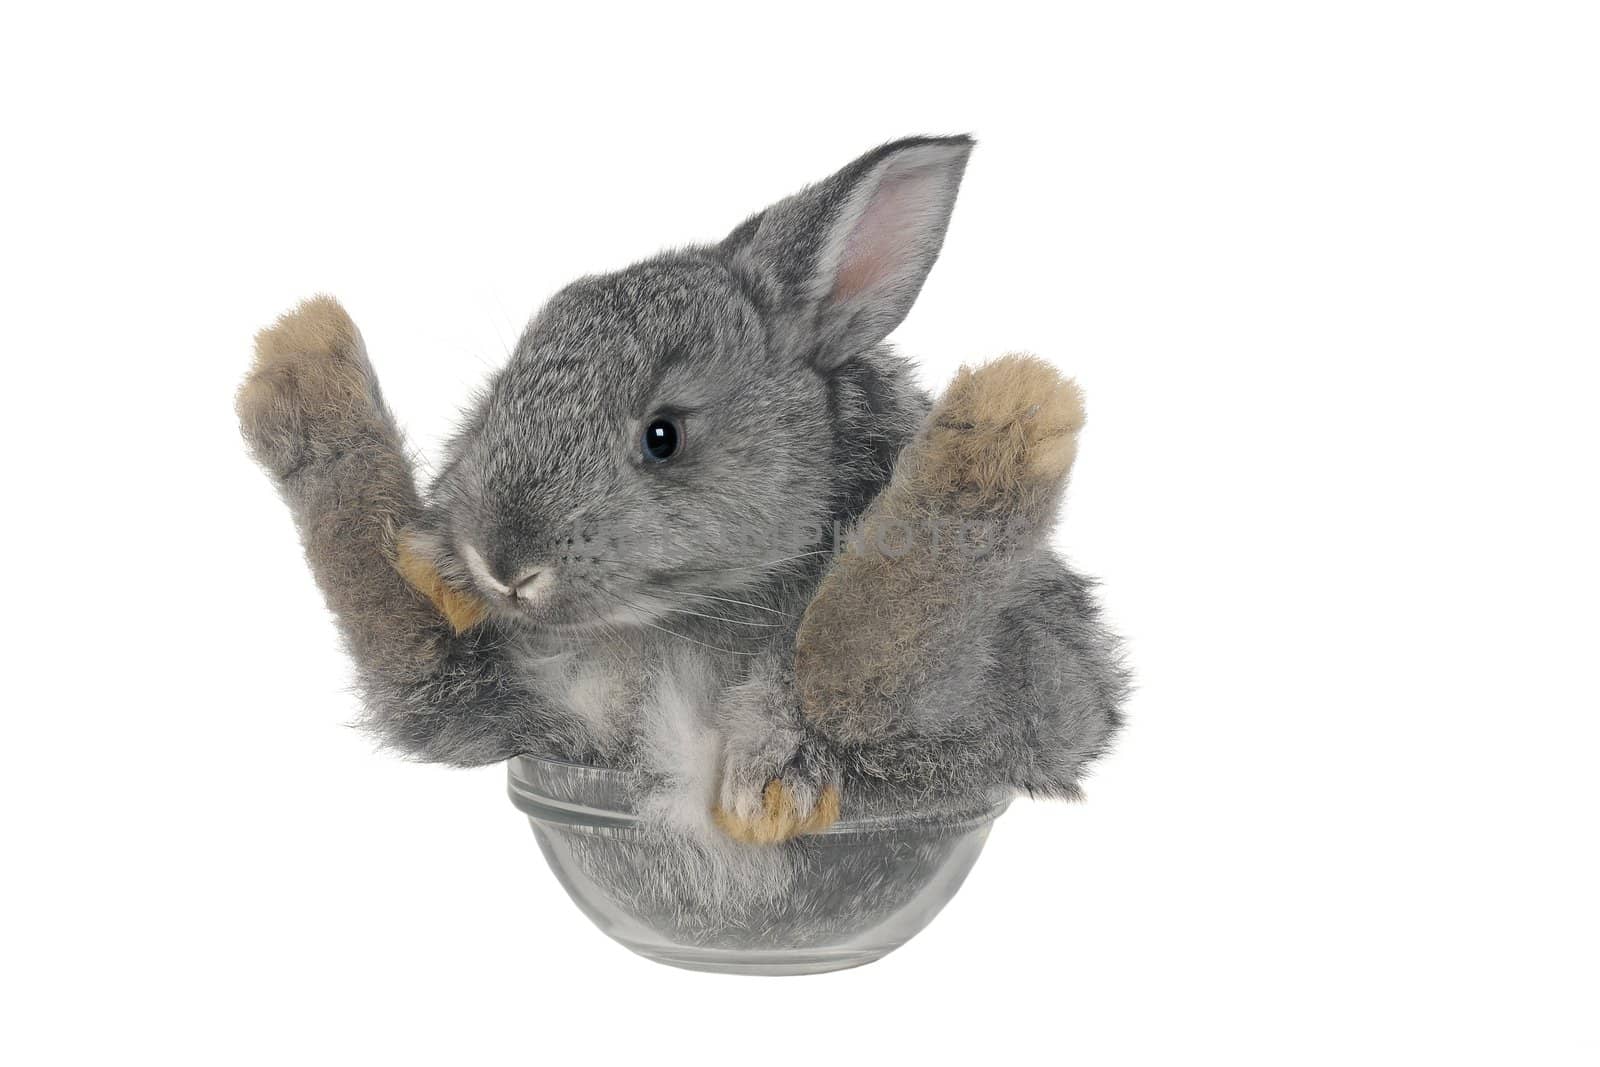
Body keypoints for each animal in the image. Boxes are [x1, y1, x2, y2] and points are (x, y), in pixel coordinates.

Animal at [236, 135, 1126, 895]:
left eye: (662, 436)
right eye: (497, 398)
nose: (503, 561)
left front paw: (771, 777)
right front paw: (436, 558)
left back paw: (1006, 421)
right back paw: (301, 368)